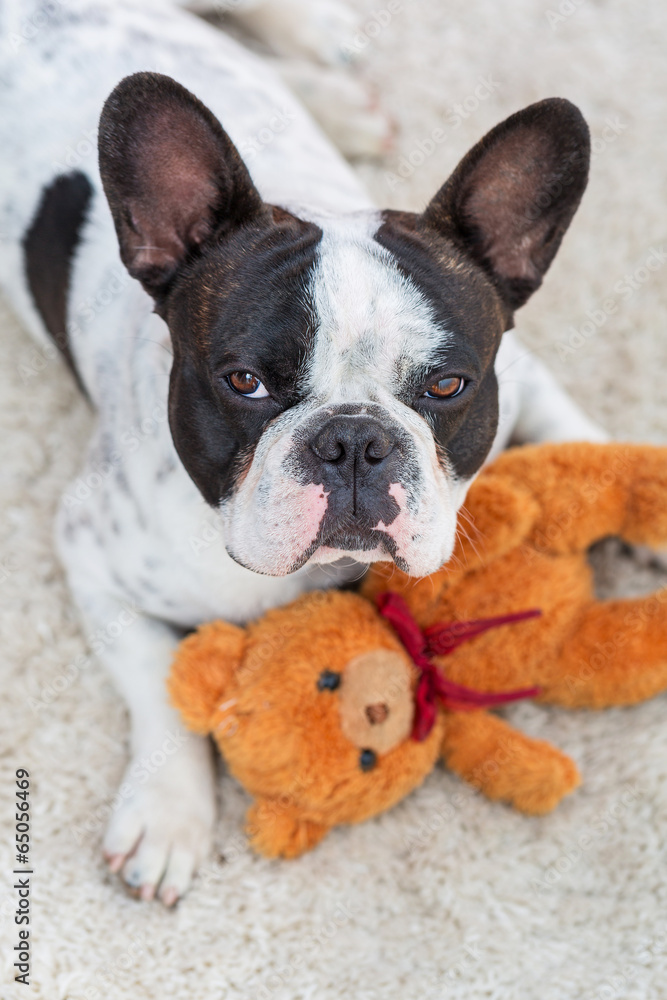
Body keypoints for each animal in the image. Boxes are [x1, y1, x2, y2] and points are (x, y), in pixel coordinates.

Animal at [0, 0, 604, 908]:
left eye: (448, 385)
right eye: (244, 382)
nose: (353, 440)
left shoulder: (521, 373)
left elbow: (576, 434)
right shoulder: (90, 552)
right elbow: (160, 678)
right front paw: (166, 815)